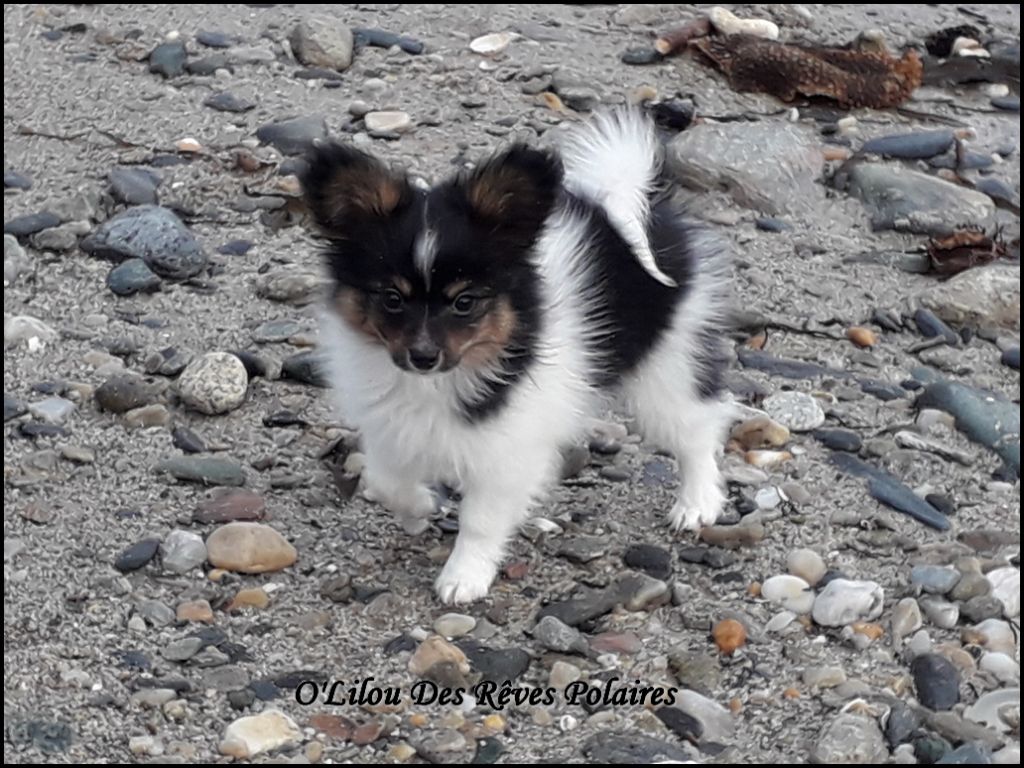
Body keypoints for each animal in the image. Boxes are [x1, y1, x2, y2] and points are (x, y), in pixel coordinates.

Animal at [299, 108, 733, 606]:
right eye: (391, 298)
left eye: (464, 302)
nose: (423, 356)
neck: (439, 380)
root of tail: (631, 211)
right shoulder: (391, 428)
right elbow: (386, 482)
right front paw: (421, 507)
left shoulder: (508, 450)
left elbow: (481, 520)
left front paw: (464, 575)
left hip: (665, 367)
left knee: (697, 428)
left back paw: (697, 502)